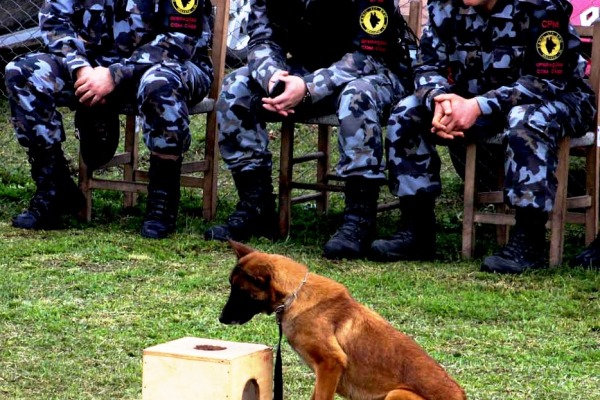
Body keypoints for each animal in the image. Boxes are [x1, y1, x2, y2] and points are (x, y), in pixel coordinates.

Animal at [220, 241, 468, 400]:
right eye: (231, 287)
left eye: (240, 292)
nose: (221, 318)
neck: (295, 296)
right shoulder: (323, 374)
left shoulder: (331, 363)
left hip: (397, 393)